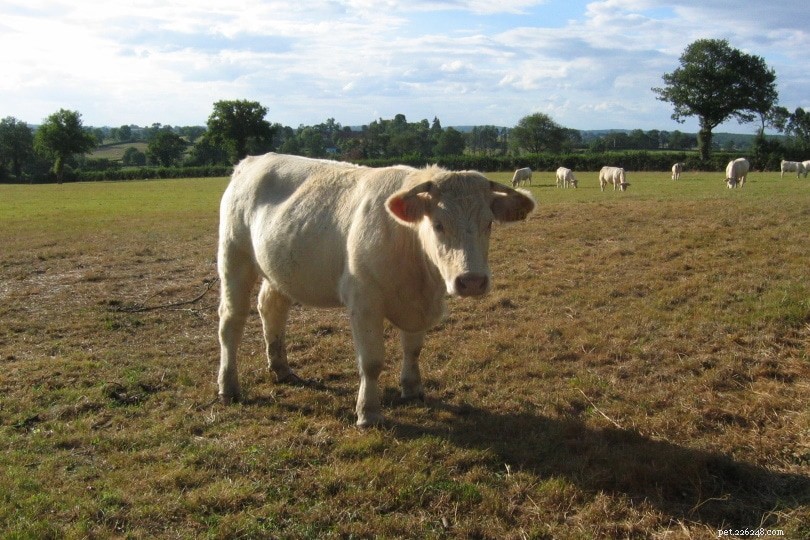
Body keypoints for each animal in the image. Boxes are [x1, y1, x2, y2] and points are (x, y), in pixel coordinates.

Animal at [217, 153, 536, 427]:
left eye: (489, 223)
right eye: (437, 224)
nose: (471, 281)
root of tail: (253, 161)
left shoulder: (418, 304)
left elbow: (413, 349)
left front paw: (412, 389)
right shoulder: (364, 303)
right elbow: (371, 362)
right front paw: (368, 412)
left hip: (278, 270)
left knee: (272, 309)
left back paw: (281, 368)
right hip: (234, 257)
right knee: (232, 321)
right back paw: (229, 386)